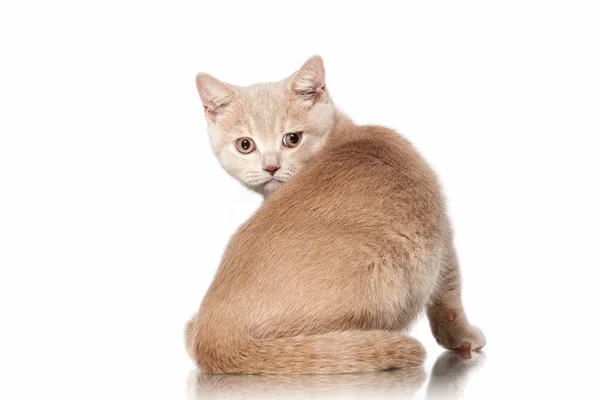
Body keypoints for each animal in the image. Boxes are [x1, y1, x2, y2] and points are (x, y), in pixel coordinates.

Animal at [185, 54, 486, 374]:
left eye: (292, 139)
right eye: (245, 145)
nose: (270, 167)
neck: (343, 135)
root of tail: (212, 325)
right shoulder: (441, 232)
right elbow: (449, 292)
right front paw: (461, 337)